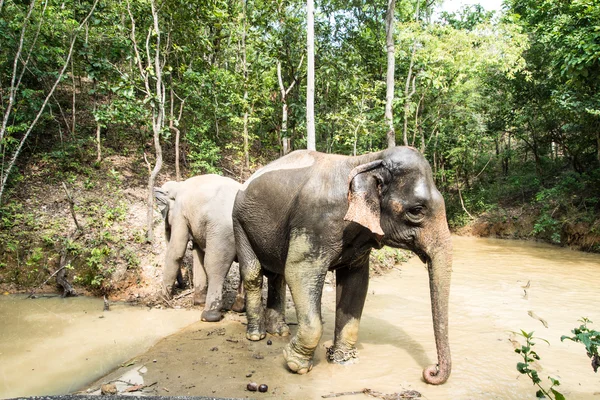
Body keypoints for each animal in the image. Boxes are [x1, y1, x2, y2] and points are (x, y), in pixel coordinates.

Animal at [157, 175, 246, 322]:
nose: (182, 285)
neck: (179, 185)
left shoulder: (180, 213)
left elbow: (176, 251)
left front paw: (161, 298)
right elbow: (197, 253)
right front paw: (198, 301)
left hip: (222, 232)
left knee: (214, 265)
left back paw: (209, 315)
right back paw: (239, 308)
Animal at [232, 146, 452, 384]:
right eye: (417, 211)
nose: (431, 371)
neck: (368, 160)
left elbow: (356, 282)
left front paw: (343, 361)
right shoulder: (315, 222)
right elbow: (299, 272)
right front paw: (295, 365)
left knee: (277, 276)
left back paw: (279, 332)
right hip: (239, 222)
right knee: (254, 274)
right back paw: (257, 335)